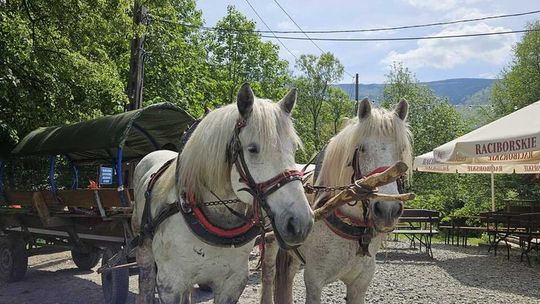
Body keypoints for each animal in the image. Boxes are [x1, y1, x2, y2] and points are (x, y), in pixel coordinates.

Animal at [131, 83, 314, 304]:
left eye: (293, 148)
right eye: (253, 149)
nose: (301, 223)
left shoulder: (233, 283)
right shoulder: (169, 283)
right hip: (144, 249)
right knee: (146, 280)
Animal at [262, 98, 414, 304]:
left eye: (401, 150)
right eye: (362, 148)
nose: (387, 209)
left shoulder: (360, 283)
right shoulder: (314, 280)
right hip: (270, 239)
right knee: (268, 272)